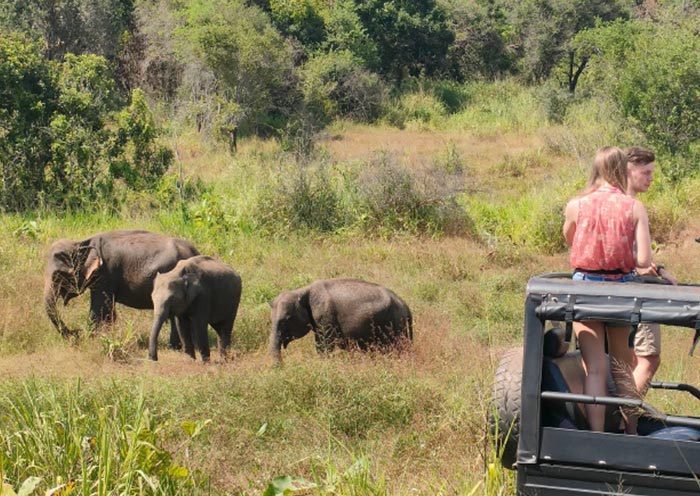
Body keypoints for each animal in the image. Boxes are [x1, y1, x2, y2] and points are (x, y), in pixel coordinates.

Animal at [43, 230, 198, 348]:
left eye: (58, 275)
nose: (75, 332)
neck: (81, 243)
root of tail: (194, 252)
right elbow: (108, 310)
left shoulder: (106, 274)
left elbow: (99, 309)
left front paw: (89, 340)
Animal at [266, 278, 410, 362]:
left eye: (286, 320)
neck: (302, 290)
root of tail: (406, 306)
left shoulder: (325, 316)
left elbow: (324, 345)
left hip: (396, 323)